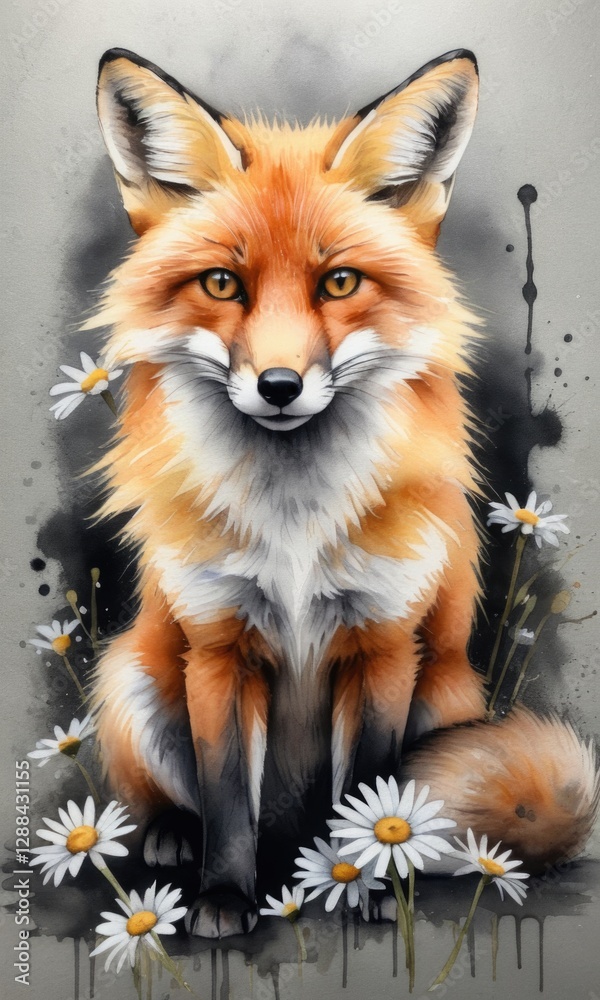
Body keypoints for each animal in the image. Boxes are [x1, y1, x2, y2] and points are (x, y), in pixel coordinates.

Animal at [89, 47, 598, 937]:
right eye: (221, 284)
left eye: (338, 283)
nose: (280, 386)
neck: (293, 519)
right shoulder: (217, 649)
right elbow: (228, 798)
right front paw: (226, 898)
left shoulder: (384, 645)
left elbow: (368, 791)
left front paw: (363, 882)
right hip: (134, 677)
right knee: (188, 799)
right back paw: (173, 836)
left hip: (444, 693)